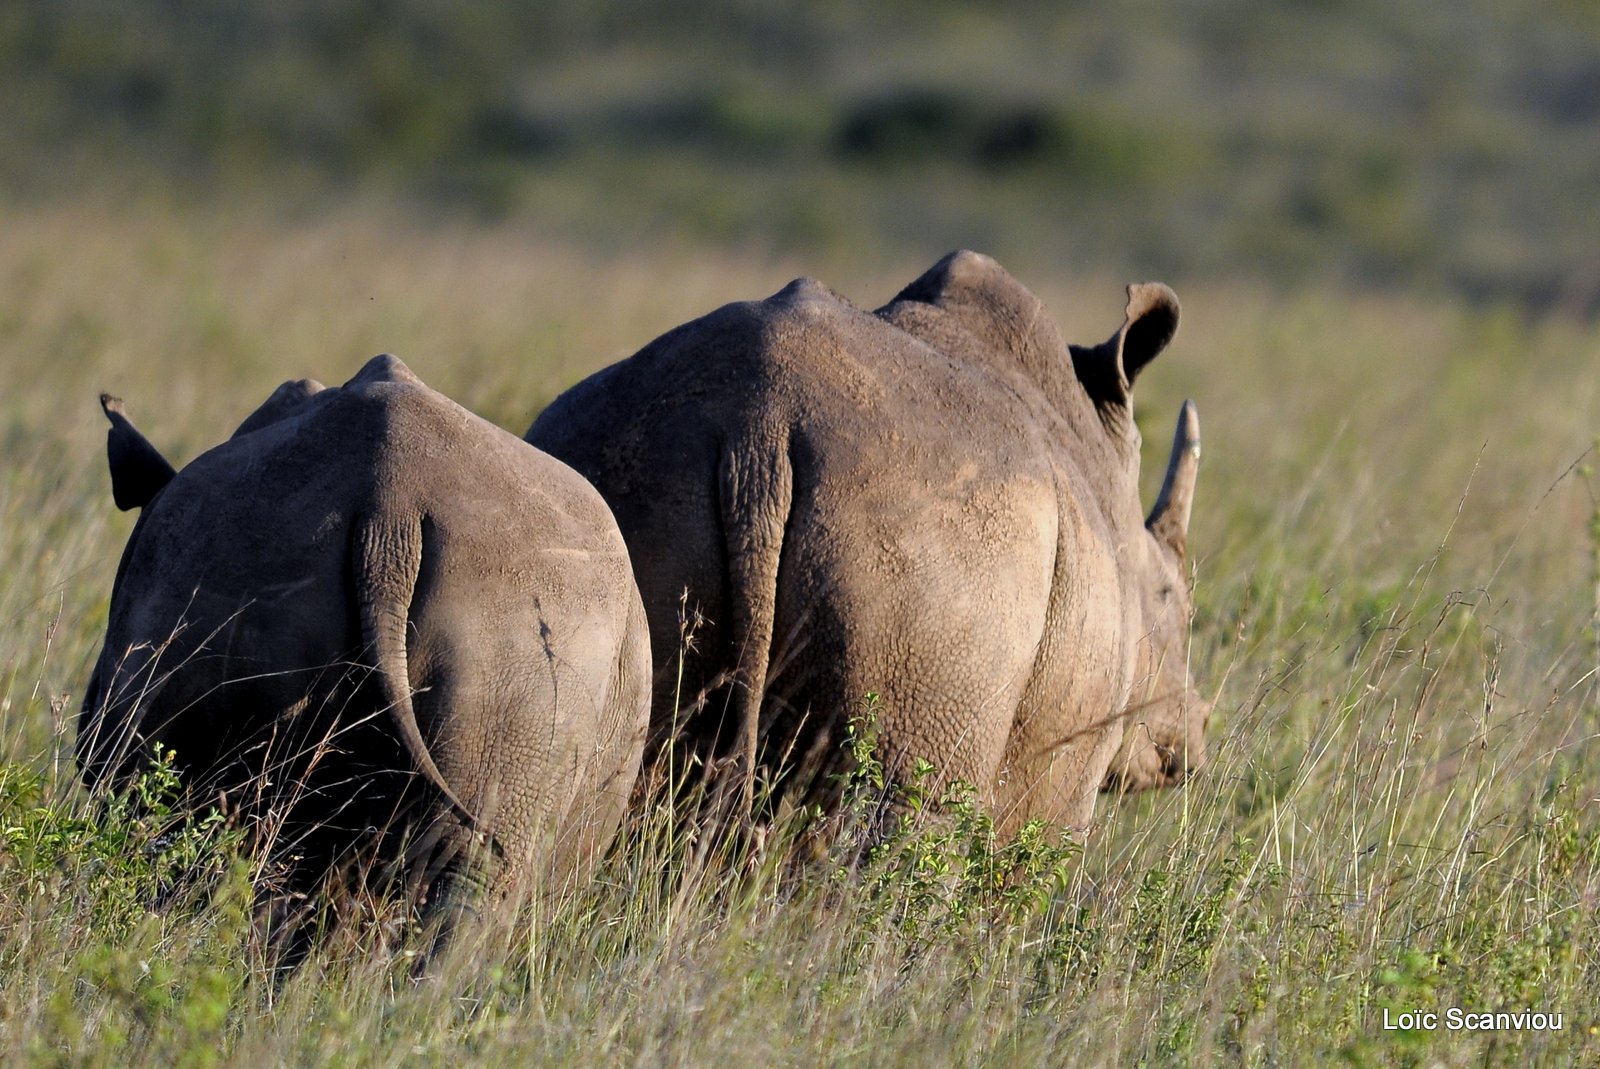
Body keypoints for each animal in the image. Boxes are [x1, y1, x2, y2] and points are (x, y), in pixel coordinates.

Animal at [531, 252, 1203, 832]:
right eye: (1174, 601)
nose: (1193, 735)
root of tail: (758, 427)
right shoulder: (1067, 760)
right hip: (941, 549)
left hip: (625, 472)